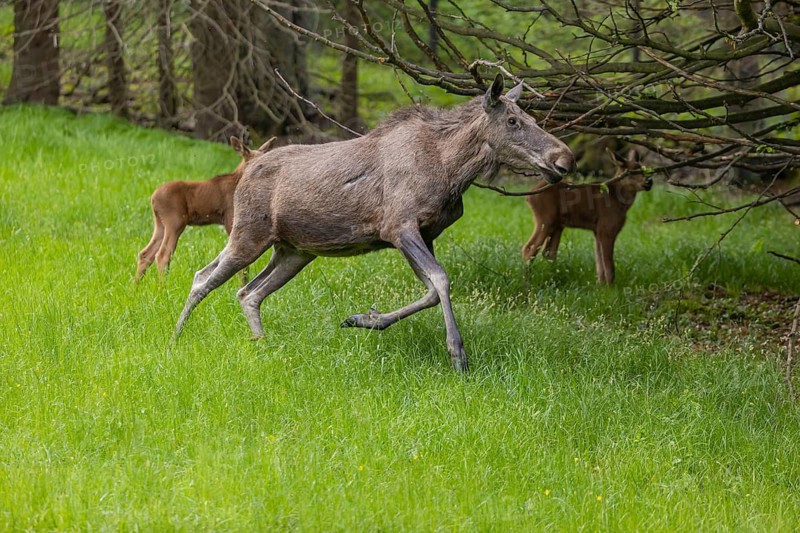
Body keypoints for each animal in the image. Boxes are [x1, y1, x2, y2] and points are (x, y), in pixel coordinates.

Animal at [135, 136, 276, 282]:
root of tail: (153, 198)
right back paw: (162, 285)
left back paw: (135, 285)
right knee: (162, 255)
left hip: (160, 223)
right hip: (175, 222)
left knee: (145, 254)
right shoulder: (230, 220)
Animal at [171, 74, 575, 372]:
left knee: (248, 292)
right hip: (250, 234)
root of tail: (247, 168)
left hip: (294, 251)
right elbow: (441, 279)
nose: (565, 159)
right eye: (513, 121)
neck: (453, 172)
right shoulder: (399, 227)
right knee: (204, 277)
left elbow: (431, 289)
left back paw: (261, 344)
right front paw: (457, 354)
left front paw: (364, 319)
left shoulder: (425, 234)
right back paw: (175, 339)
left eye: (533, 118)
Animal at [522, 148, 652, 284]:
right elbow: (609, 264)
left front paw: (600, 285)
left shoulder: (597, 230)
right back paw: (528, 284)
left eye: (644, 170)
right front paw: (610, 287)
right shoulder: (606, 227)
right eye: (630, 173)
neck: (618, 202)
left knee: (548, 252)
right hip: (545, 219)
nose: (649, 181)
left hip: (557, 224)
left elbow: (599, 262)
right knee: (529, 249)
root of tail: (529, 197)